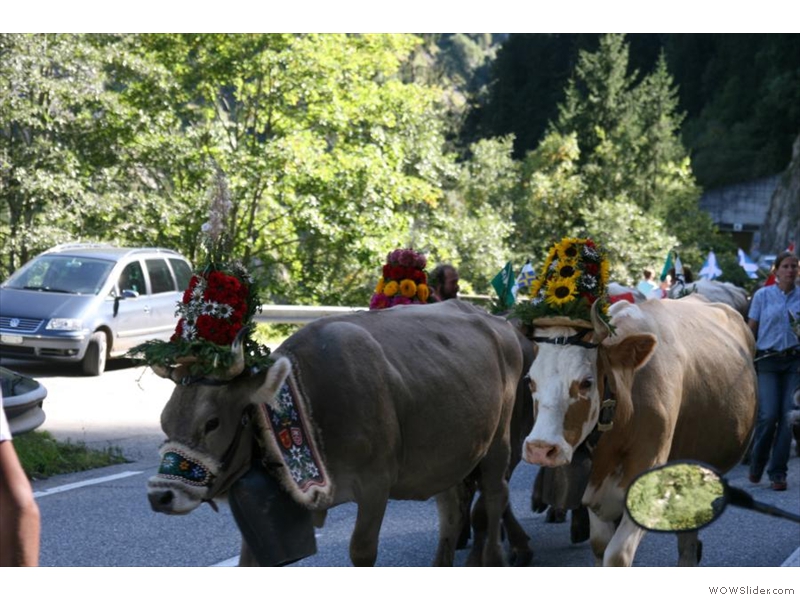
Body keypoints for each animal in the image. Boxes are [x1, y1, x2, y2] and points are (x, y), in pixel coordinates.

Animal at [148, 300, 528, 568]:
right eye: (164, 420)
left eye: (212, 422)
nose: (160, 497)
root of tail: (494, 320)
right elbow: (249, 560)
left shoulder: (376, 484)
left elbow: (361, 551)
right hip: (448, 456)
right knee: (451, 510)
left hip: (499, 442)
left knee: (495, 495)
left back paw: (497, 557)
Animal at [524, 298, 756, 564]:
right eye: (529, 380)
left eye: (586, 382)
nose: (540, 448)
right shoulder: (594, 490)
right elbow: (599, 546)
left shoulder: (649, 483)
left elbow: (617, 556)